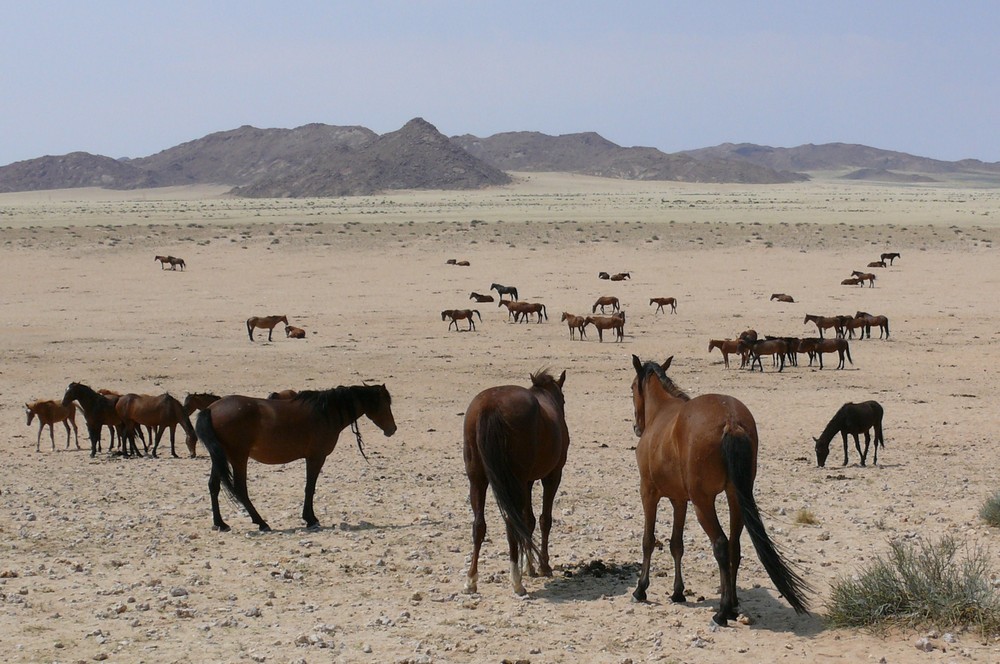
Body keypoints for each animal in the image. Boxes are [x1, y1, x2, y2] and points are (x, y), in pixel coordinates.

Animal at [197, 382, 396, 532]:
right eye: (386, 404)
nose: (392, 429)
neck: (326, 412)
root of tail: (210, 409)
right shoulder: (316, 457)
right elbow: (310, 488)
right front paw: (310, 519)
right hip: (238, 458)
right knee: (240, 489)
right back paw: (261, 523)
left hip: (220, 457)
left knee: (213, 486)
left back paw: (220, 524)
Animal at [462, 368, 572, 596]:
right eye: (564, 399)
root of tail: (490, 405)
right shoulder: (552, 476)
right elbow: (544, 520)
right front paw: (543, 566)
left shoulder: (527, 482)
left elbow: (528, 520)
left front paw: (529, 566)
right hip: (514, 481)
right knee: (512, 523)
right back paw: (516, 581)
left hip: (478, 480)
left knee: (479, 525)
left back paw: (471, 580)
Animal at [632, 356, 812, 624]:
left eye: (633, 387)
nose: (637, 427)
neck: (661, 413)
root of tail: (731, 421)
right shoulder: (679, 500)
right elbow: (676, 544)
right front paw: (678, 592)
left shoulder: (649, 493)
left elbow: (648, 540)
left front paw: (641, 589)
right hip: (735, 497)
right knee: (734, 546)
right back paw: (734, 603)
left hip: (703, 502)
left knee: (720, 544)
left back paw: (723, 611)